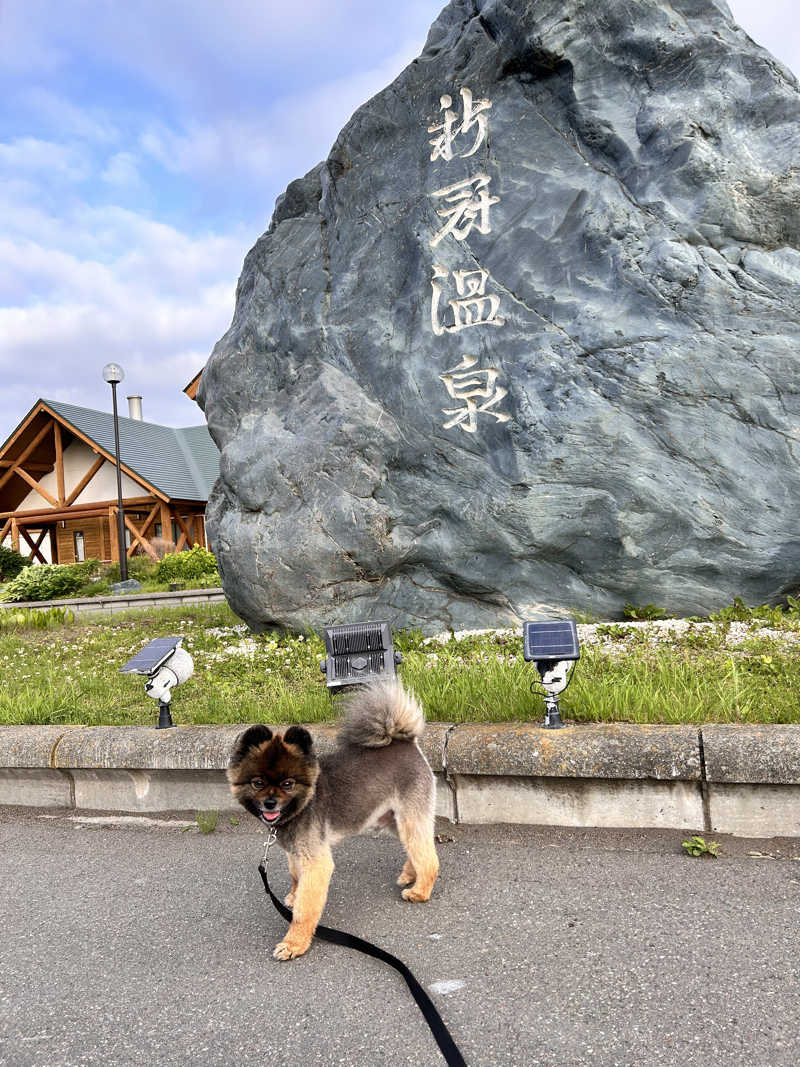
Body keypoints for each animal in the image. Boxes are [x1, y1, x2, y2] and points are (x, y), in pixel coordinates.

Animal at [227, 678, 439, 964]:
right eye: (257, 783)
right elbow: (295, 877)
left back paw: (420, 891)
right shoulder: (296, 852)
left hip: (408, 816)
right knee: (418, 846)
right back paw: (410, 874)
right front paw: (293, 896)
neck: (303, 803)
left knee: (427, 855)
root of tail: (406, 742)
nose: (270, 802)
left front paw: (295, 943)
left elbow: (305, 909)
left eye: (288, 783)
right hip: (393, 819)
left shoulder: (317, 861)